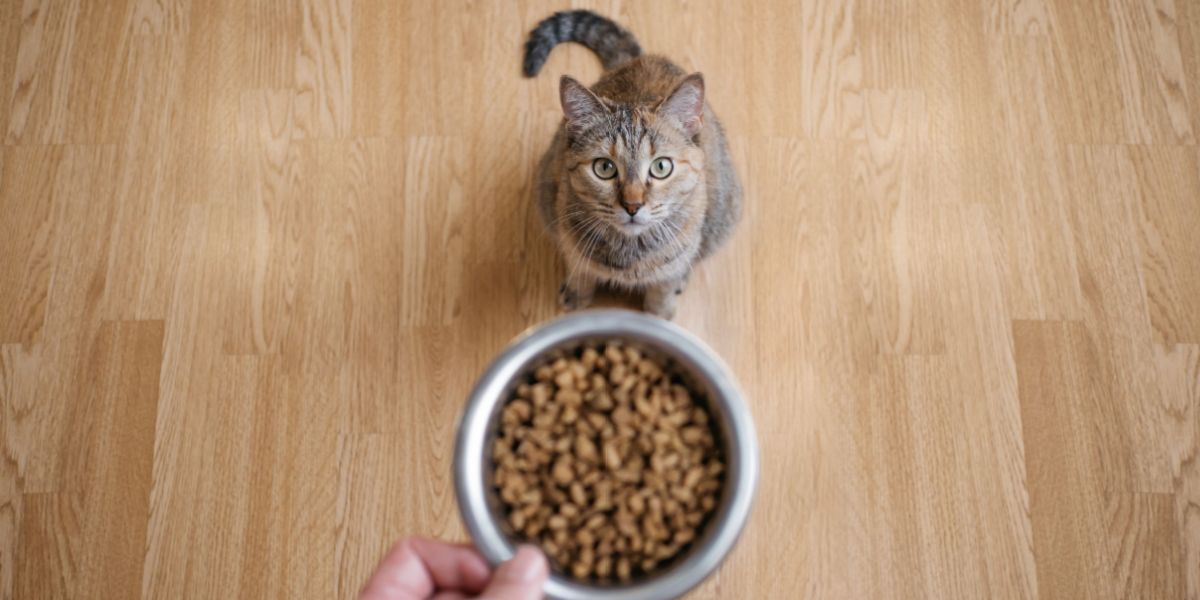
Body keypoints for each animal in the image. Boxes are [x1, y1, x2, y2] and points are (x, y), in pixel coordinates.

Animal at [525, 9, 739, 319]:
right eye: (604, 168)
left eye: (661, 167)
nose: (633, 205)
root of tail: (642, 57)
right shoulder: (570, 238)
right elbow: (581, 271)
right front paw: (577, 297)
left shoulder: (674, 261)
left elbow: (663, 290)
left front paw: (659, 315)